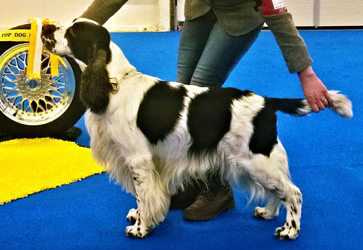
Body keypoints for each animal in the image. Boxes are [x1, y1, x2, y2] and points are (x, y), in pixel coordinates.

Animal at [42, 18, 352, 240]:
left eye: (73, 31)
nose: (46, 28)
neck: (113, 83)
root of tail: (266, 102)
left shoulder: (137, 159)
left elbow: (143, 195)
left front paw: (140, 228)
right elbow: (143, 197)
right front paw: (138, 216)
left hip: (257, 160)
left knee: (294, 192)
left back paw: (289, 230)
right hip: (257, 162)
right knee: (279, 191)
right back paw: (266, 212)